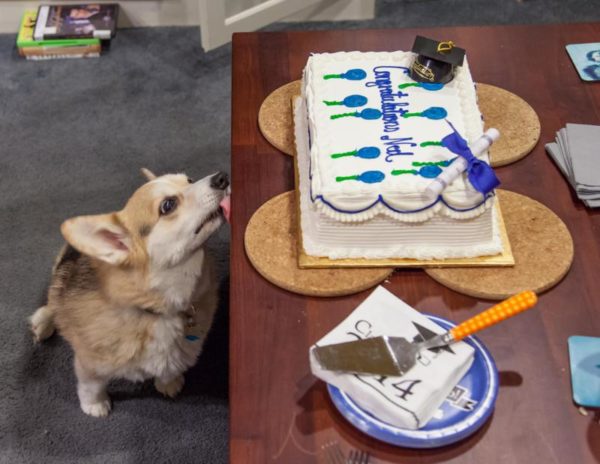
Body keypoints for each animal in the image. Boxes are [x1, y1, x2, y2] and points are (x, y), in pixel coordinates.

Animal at [28, 169, 231, 416]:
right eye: (168, 205)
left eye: (189, 180)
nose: (222, 177)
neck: (155, 309)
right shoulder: (89, 364)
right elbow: (91, 386)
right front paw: (95, 405)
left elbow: (170, 368)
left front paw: (169, 382)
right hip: (59, 276)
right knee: (53, 301)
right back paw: (43, 322)